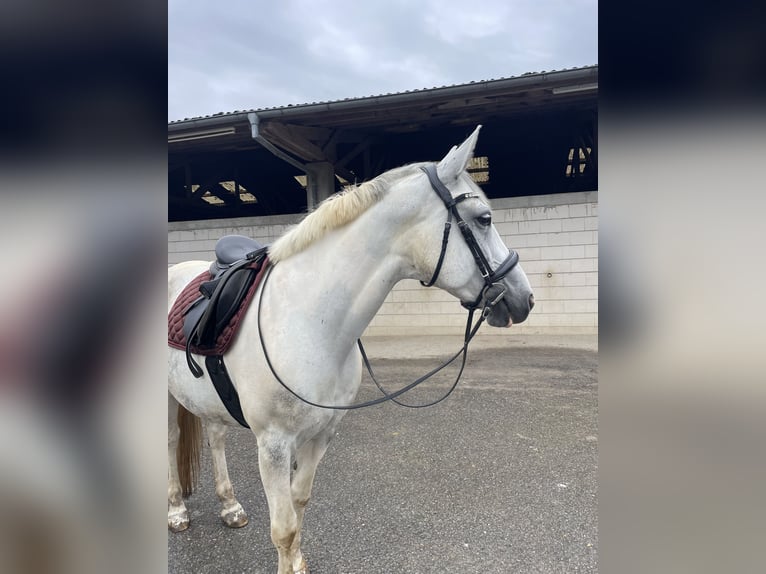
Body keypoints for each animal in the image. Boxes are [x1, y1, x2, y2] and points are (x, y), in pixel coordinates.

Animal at [167, 126, 534, 574]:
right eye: (484, 219)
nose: (524, 298)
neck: (310, 321)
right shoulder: (273, 445)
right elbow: (283, 528)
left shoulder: (321, 435)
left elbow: (299, 503)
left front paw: (299, 561)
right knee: (170, 442)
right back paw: (176, 512)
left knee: (216, 436)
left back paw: (230, 506)